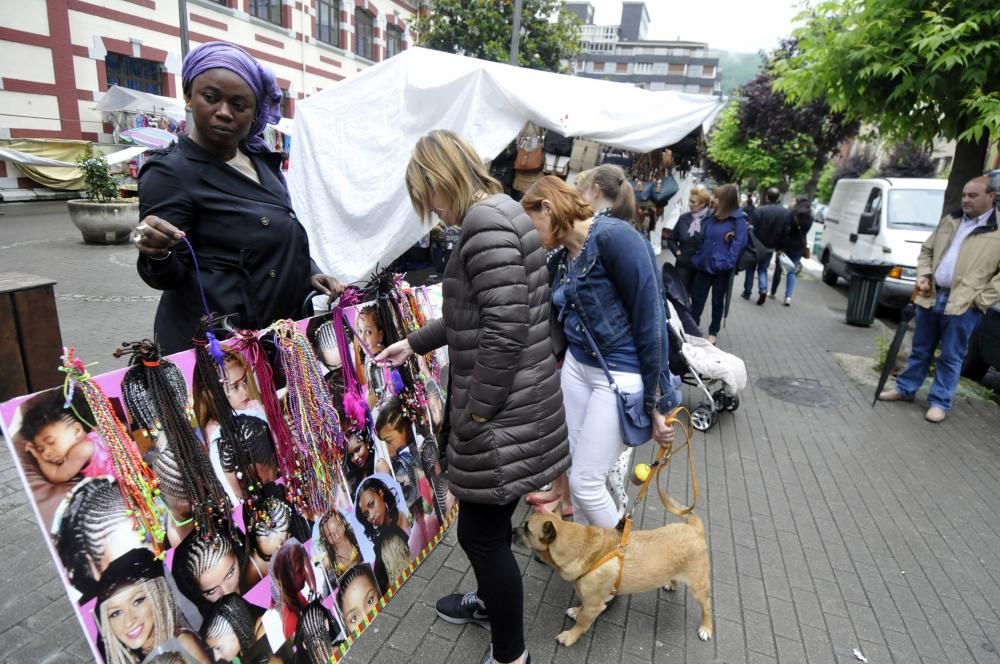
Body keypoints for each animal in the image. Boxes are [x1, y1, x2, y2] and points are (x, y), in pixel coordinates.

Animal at [516, 496, 712, 644]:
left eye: (526, 529)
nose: (511, 531)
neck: (582, 546)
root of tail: (694, 528)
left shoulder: (594, 604)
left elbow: (581, 623)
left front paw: (570, 636)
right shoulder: (590, 600)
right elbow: (582, 609)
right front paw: (576, 611)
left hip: (698, 587)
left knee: (707, 606)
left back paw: (706, 628)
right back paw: (671, 584)